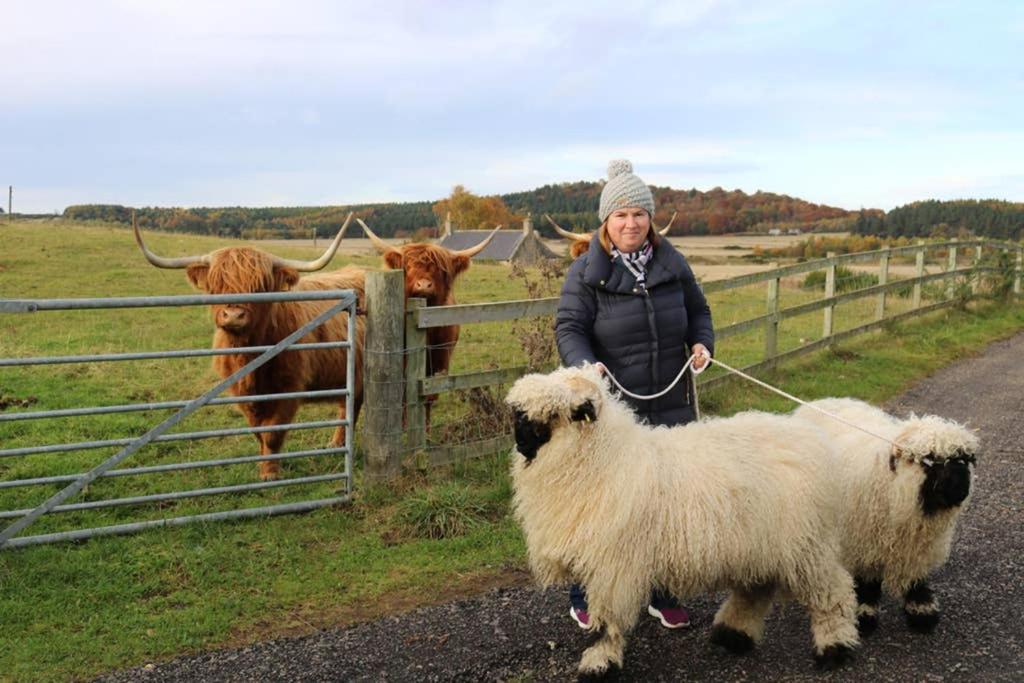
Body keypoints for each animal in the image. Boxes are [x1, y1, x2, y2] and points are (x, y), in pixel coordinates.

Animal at [134, 213, 365, 481]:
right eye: (217, 285)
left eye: (260, 285)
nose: (233, 315)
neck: (250, 356)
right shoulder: (241, 392)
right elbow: (258, 431)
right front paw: (263, 465)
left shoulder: (289, 388)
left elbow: (272, 432)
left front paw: (270, 474)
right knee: (348, 406)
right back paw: (337, 443)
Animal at [356, 219, 500, 426]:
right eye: (407, 267)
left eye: (439, 269)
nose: (423, 285)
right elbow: (404, 398)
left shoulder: (440, 361)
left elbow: (429, 396)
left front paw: (425, 430)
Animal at [506, 365, 860, 677]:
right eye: (519, 415)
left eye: (553, 414)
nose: (520, 444)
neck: (605, 459)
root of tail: (813, 438)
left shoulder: (612, 567)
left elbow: (605, 623)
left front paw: (599, 662)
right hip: (762, 543)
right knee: (757, 588)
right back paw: (733, 635)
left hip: (805, 544)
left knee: (833, 593)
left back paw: (834, 648)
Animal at [792, 398, 979, 636]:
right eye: (929, 458)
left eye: (964, 458)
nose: (961, 489)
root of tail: (819, 401)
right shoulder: (864, 542)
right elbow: (868, 582)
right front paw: (865, 615)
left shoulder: (917, 546)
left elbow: (915, 578)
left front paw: (922, 613)